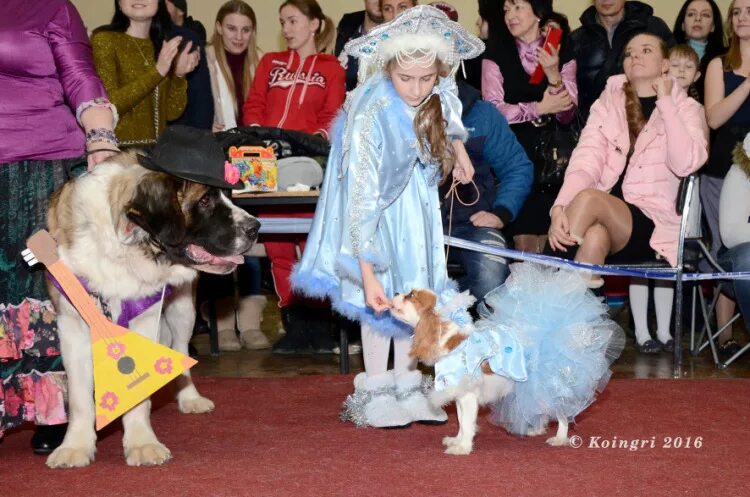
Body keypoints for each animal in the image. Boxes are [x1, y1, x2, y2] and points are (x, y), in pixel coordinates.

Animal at [45, 150, 262, 464]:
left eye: (227, 196)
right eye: (205, 201)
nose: (255, 227)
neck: (127, 248)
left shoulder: (146, 318)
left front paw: (141, 443)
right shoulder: (72, 325)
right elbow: (79, 397)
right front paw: (75, 446)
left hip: (183, 310)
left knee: (181, 349)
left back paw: (190, 398)